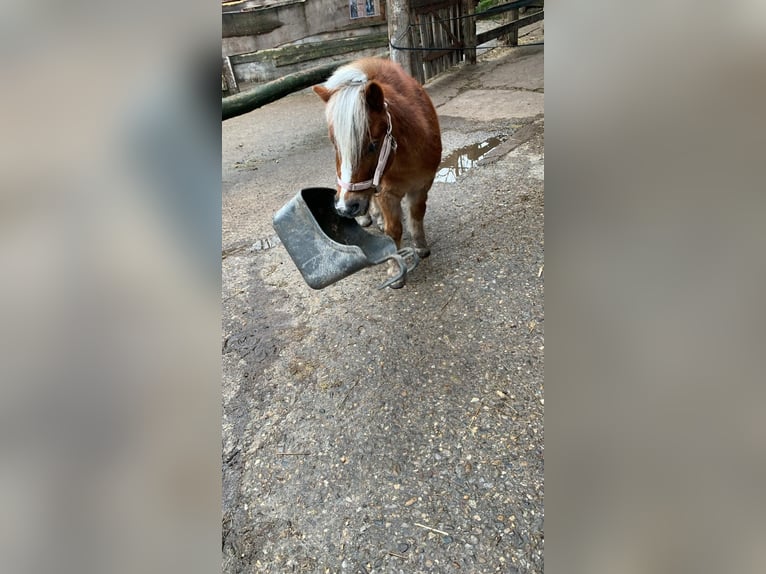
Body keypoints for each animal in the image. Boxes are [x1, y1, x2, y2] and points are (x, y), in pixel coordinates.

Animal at [314, 58, 444, 288]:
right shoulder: (385, 192)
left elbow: (417, 213)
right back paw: (368, 217)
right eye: (334, 145)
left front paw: (421, 247)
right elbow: (394, 230)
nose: (345, 208)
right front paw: (395, 269)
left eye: (372, 145)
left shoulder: (423, 184)